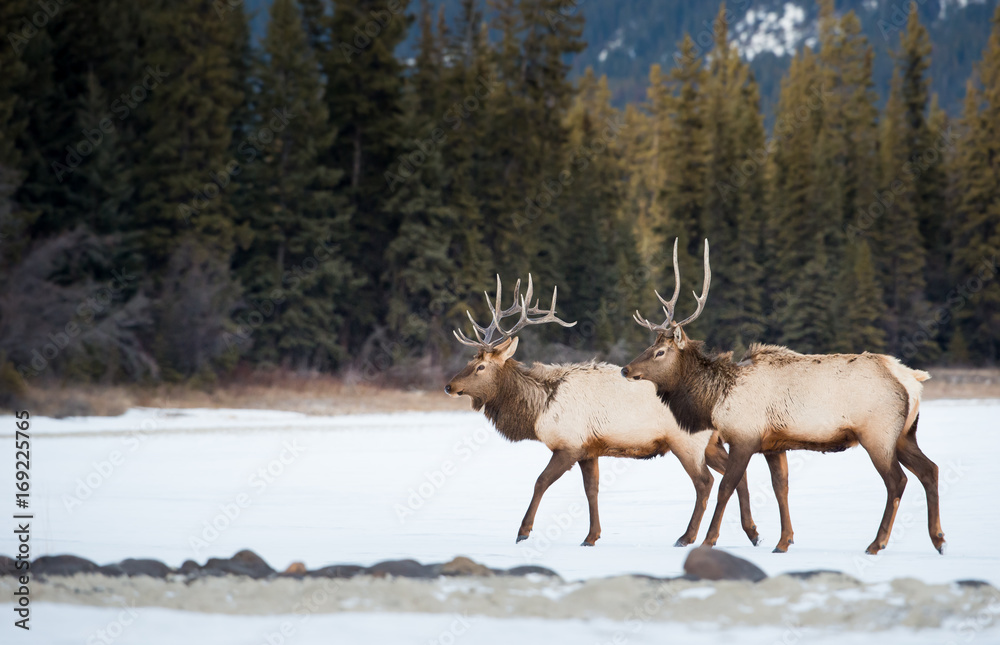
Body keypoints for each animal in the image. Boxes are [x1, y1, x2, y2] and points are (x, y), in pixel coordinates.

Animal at [445, 274, 763, 548]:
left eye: (480, 366)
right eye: (470, 360)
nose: (449, 385)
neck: (539, 410)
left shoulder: (568, 445)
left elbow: (540, 482)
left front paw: (523, 531)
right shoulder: (589, 450)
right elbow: (591, 490)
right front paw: (591, 536)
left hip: (686, 442)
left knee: (705, 482)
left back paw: (687, 537)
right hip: (711, 441)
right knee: (738, 475)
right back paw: (753, 533)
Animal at [621, 238, 944, 555]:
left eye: (660, 352)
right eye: (650, 346)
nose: (626, 369)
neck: (715, 400)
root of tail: (912, 380)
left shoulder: (745, 437)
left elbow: (727, 487)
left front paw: (709, 540)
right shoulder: (774, 444)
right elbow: (781, 489)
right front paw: (783, 541)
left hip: (878, 433)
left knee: (897, 480)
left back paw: (877, 543)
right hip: (904, 434)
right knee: (930, 469)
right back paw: (938, 538)